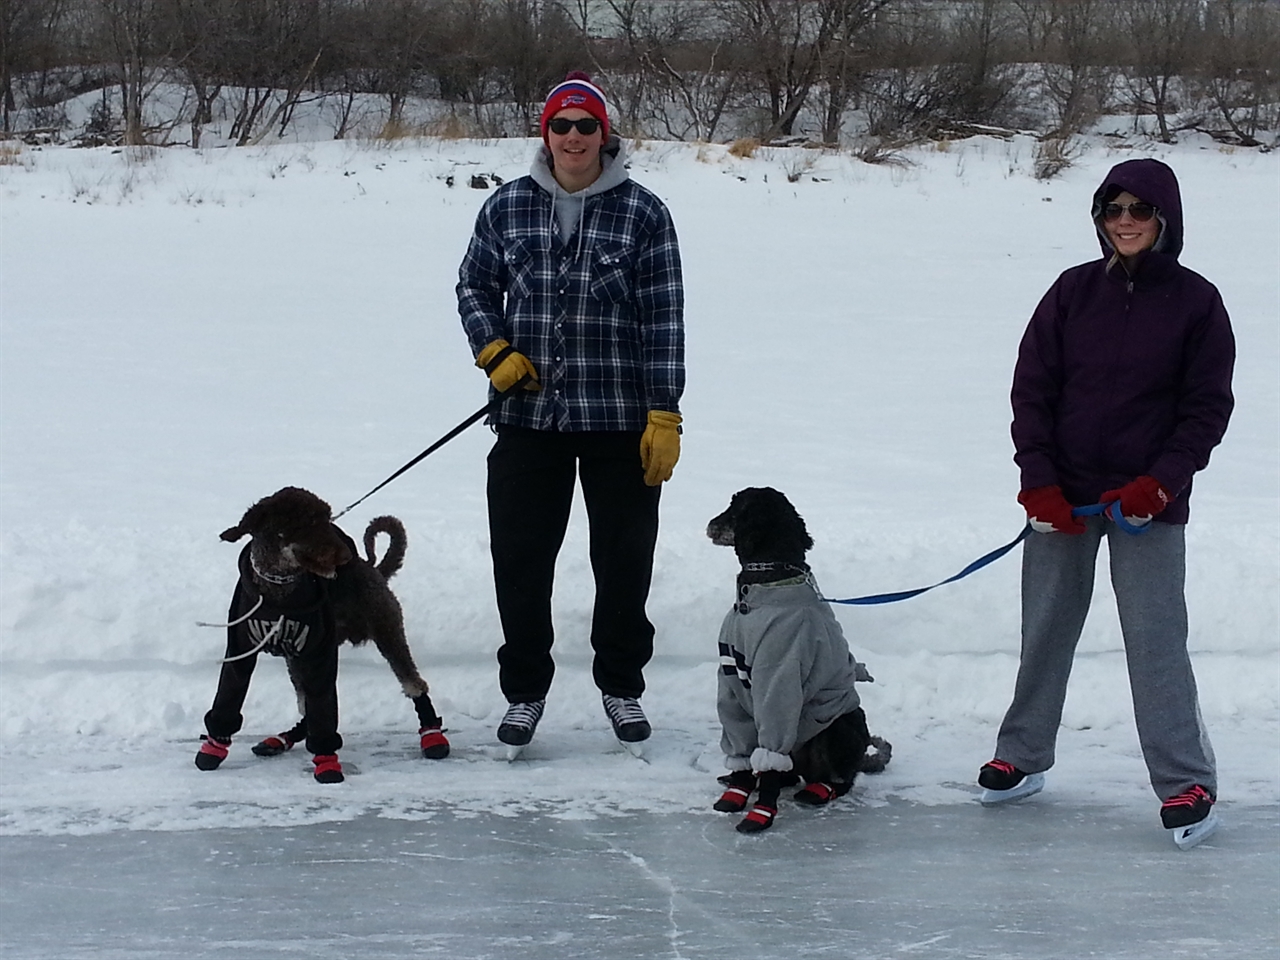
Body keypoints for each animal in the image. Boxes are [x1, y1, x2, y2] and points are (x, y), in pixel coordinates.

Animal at [192, 488, 448, 783]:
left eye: (328, 517)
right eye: (309, 522)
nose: (346, 556)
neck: (279, 590)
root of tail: (373, 570)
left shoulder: (319, 653)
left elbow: (323, 711)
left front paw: (327, 763)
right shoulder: (240, 650)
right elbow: (229, 697)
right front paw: (213, 747)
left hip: (387, 630)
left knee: (413, 683)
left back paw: (432, 734)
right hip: (298, 659)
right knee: (306, 703)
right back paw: (285, 739)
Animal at [711, 488, 890, 834]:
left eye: (735, 507)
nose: (710, 524)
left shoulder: (779, 679)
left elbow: (771, 756)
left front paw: (760, 814)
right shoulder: (732, 679)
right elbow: (741, 750)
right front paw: (736, 793)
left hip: (838, 727)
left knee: (840, 778)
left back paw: (819, 790)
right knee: (789, 772)